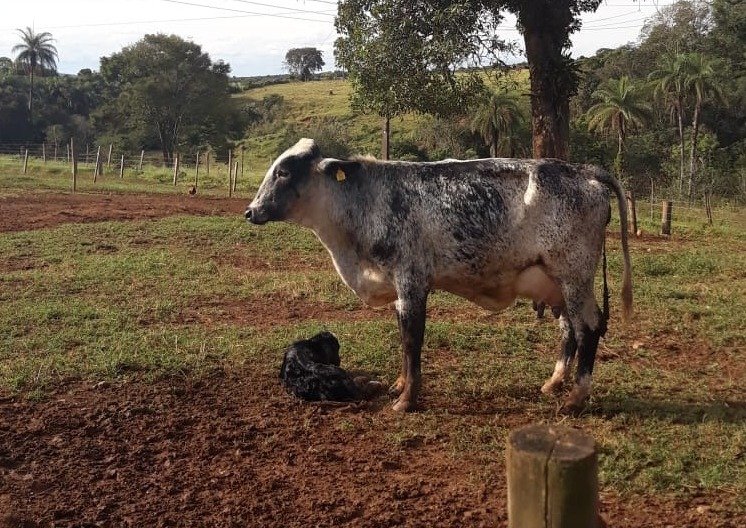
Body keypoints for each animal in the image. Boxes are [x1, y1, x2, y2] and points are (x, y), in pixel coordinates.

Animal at [247, 138, 632, 414]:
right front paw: (399, 386)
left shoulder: (412, 284)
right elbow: (404, 342)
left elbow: (411, 342)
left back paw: (575, 399)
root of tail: (585, 171)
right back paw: (554, 383)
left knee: (588, 328)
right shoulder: (399, 291)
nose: (251, 211)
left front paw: (406, 401)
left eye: (284, 171)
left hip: (574, 276)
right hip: (560, 286)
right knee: (569, 329)